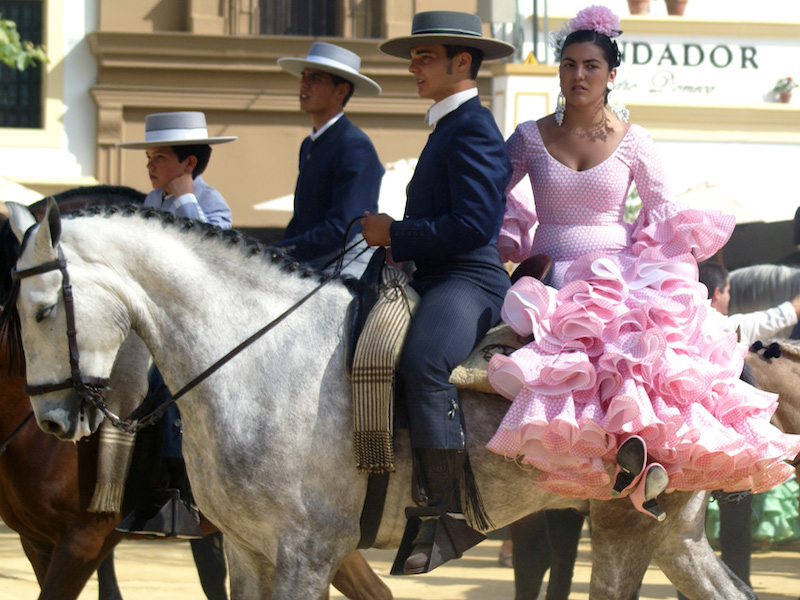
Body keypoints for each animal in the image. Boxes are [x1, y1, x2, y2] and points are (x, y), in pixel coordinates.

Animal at [4, 202, 756, 600]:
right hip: (672, 533)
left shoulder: (305, 552)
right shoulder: (247, 550)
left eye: (39, 310)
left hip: (628, 528)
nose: (53, 421)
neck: (256, 357)